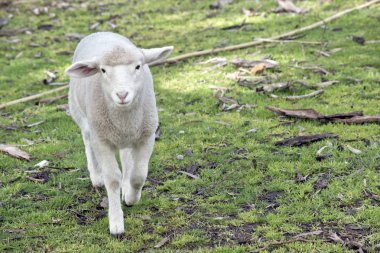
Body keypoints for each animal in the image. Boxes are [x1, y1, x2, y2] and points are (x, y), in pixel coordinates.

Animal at [64, 32, 174, 237]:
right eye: (103, 70)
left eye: (138, 66)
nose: (122, 94)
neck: (124, 118)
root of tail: (101, 32)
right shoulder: (102, 141)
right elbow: (112, 179)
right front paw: (116, 223)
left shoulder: (146, 136)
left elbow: (139, 175)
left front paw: (131, 197)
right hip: (80, 114)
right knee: (87, 140)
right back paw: (96, 177)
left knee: (126, 157)